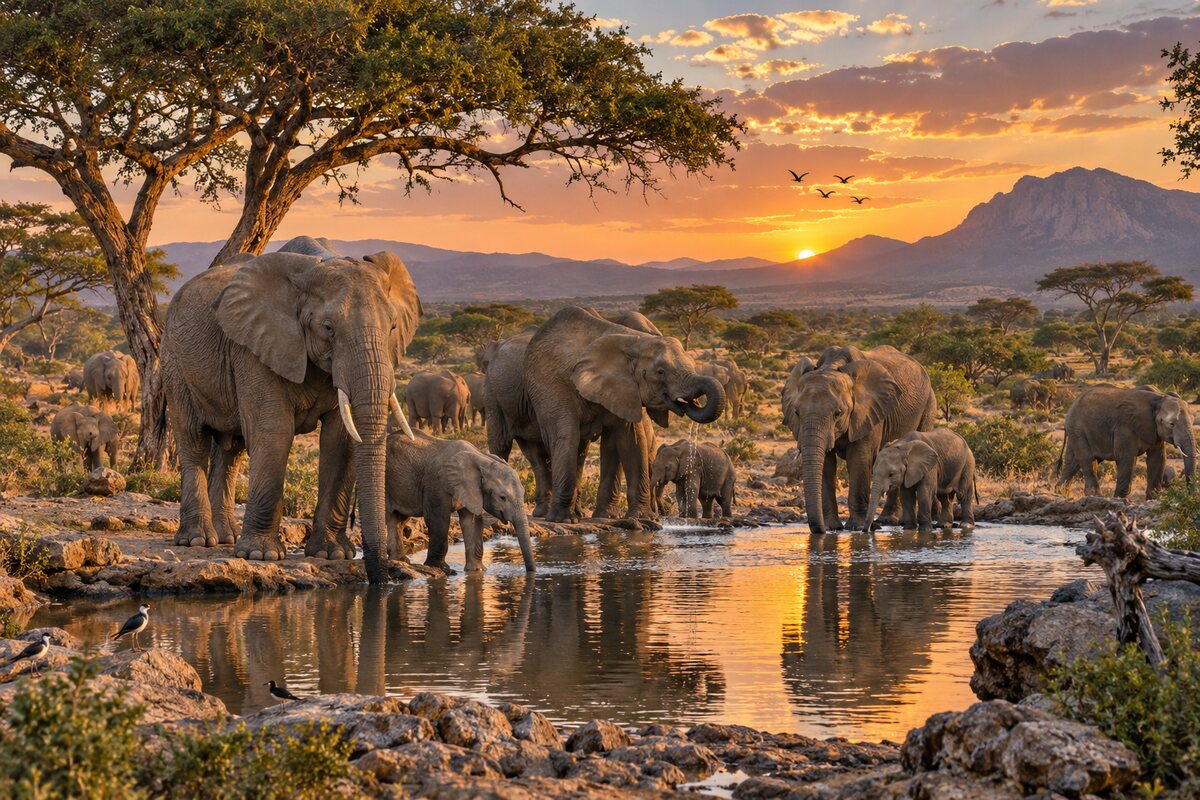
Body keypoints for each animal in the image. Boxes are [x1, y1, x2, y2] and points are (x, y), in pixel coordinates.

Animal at [160, 235, 421, 582]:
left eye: (392, 327)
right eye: (328, 328)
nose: (382, 579)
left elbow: (341, 439)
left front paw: (331, 554)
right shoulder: (255, 345)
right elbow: (273, 431)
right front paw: (261, 555)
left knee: (232, 451)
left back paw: (226, 537)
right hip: (174, 362)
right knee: (193, 439)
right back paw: (198, 541)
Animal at [384, 430, 534, 574]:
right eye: (502, 497)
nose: (528, 571)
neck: (481, 459)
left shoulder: (471, 491)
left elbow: (472, 522)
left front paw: (477, 571)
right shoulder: (437, 485)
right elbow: (438, 520)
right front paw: (440, 569)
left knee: (398, 520)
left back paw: (401, 560)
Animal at [524, 307, 726, 522]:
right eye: (661, 372)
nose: (689, 402)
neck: (632, 340)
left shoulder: (623, 389)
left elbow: (632, 440)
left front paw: (644, 519)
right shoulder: (555, 384)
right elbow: (567, 437)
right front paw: (563, 520)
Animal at [782, 345, 937, 534]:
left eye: (838, 413)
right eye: (796, 413)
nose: (820, 530)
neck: (832, 366)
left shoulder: (868, 412)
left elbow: (859, 459)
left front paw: (855, 527)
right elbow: (826, 464)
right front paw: (832, 527)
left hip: (929, 405)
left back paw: (888, 521)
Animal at [1059, 384, 1196, 500]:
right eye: (1171, 424)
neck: (1159, 397)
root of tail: (1072, 404)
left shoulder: (1154, 431)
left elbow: (1158, 459)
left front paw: (1153, 499)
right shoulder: (1125, 427)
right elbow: (1126, 457)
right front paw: (1119, 499)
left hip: (1076, 430)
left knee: (1073, 463)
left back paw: (1060, 493)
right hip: (1077, 428)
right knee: (1087, 459)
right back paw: (1095, 496)